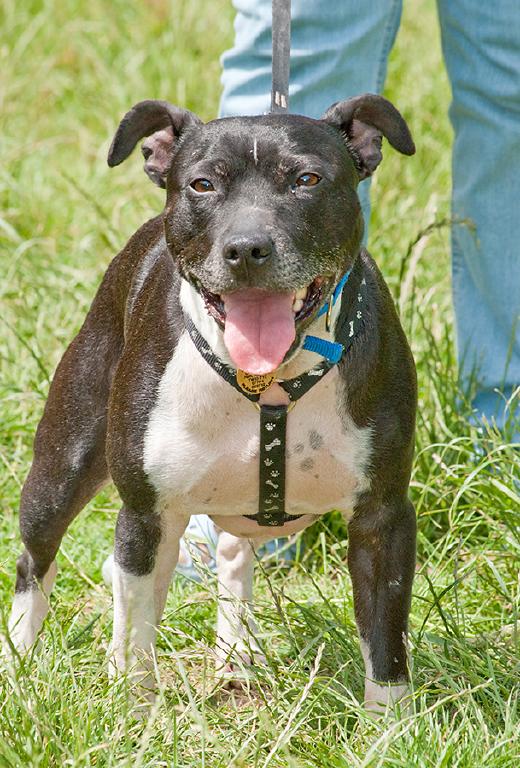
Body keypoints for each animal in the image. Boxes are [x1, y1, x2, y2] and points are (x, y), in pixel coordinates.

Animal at [8, 94, 418, 712]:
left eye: (307, 179)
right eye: (202, 184)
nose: (247, 248)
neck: (268, 383)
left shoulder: (383, 517)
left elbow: (384, 642)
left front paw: (388, 727)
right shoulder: (145, 514)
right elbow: (135, 631)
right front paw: (137, 710)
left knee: (231, 554)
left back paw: (237, 656)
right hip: (62, 468)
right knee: (36, 560)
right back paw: (18, 659)